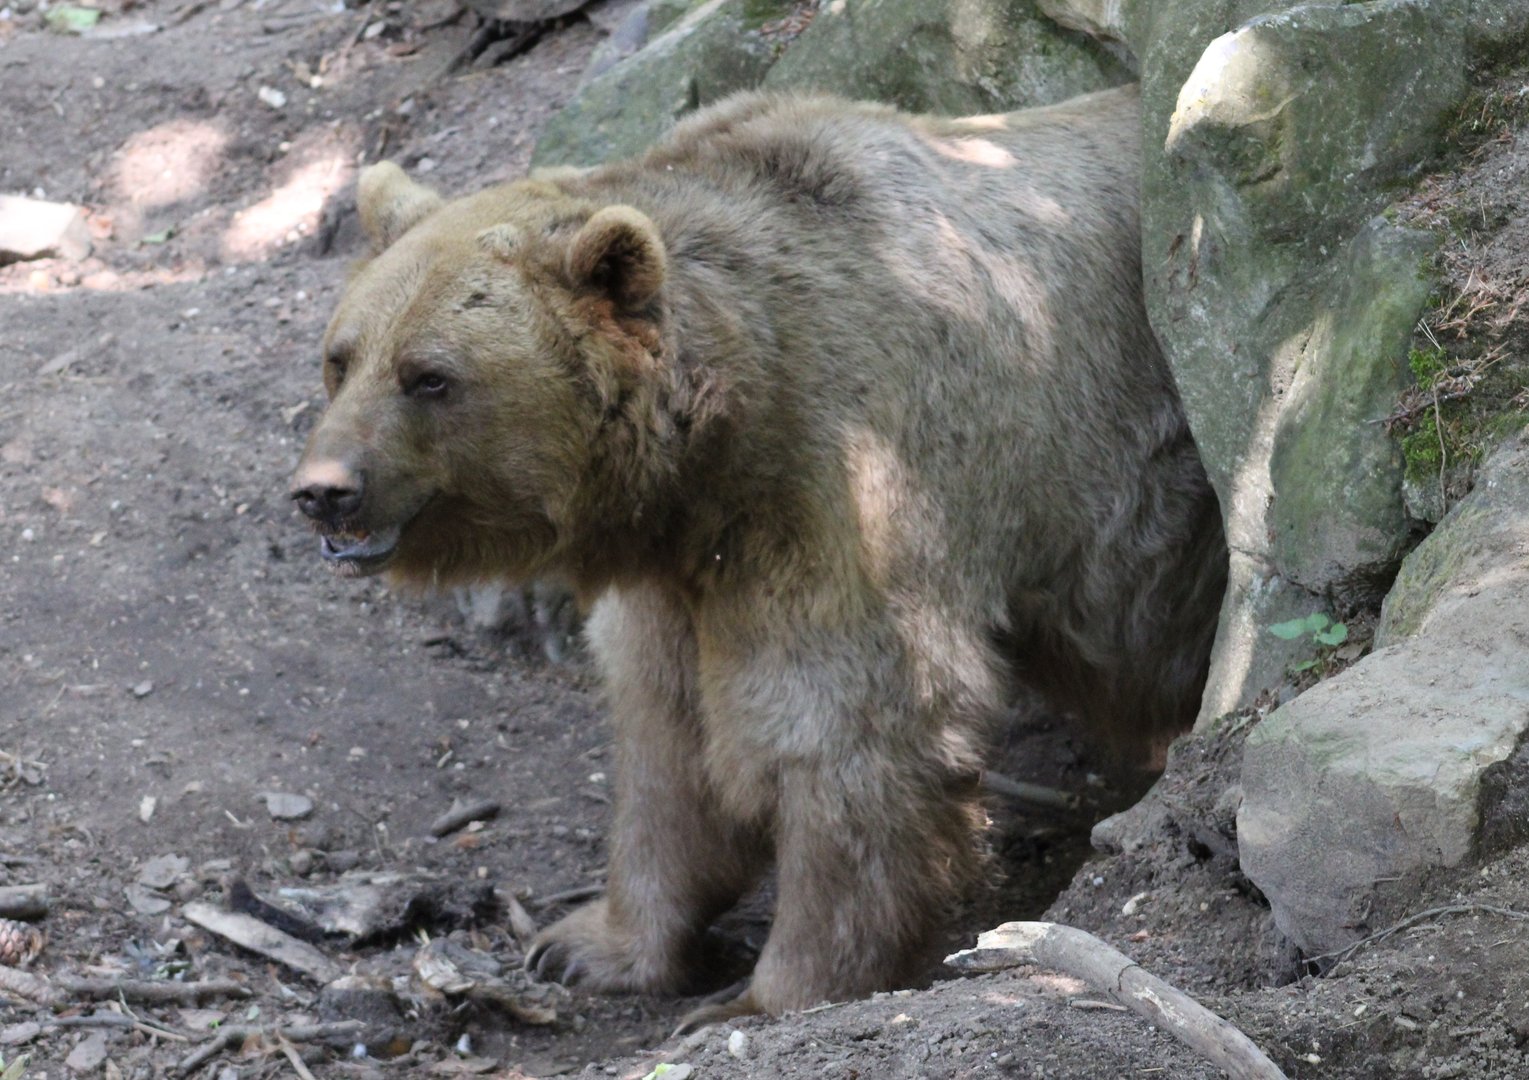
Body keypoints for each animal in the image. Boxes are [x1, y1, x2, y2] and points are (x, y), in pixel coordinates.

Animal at [290, 84, 1227, 1024]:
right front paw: (589, 944)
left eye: (430, 377)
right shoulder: (679, 574)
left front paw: (769, 994)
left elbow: (846, 727)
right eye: (342, 358)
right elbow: (666, 737)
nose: (324, 489)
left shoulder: (854, 480)